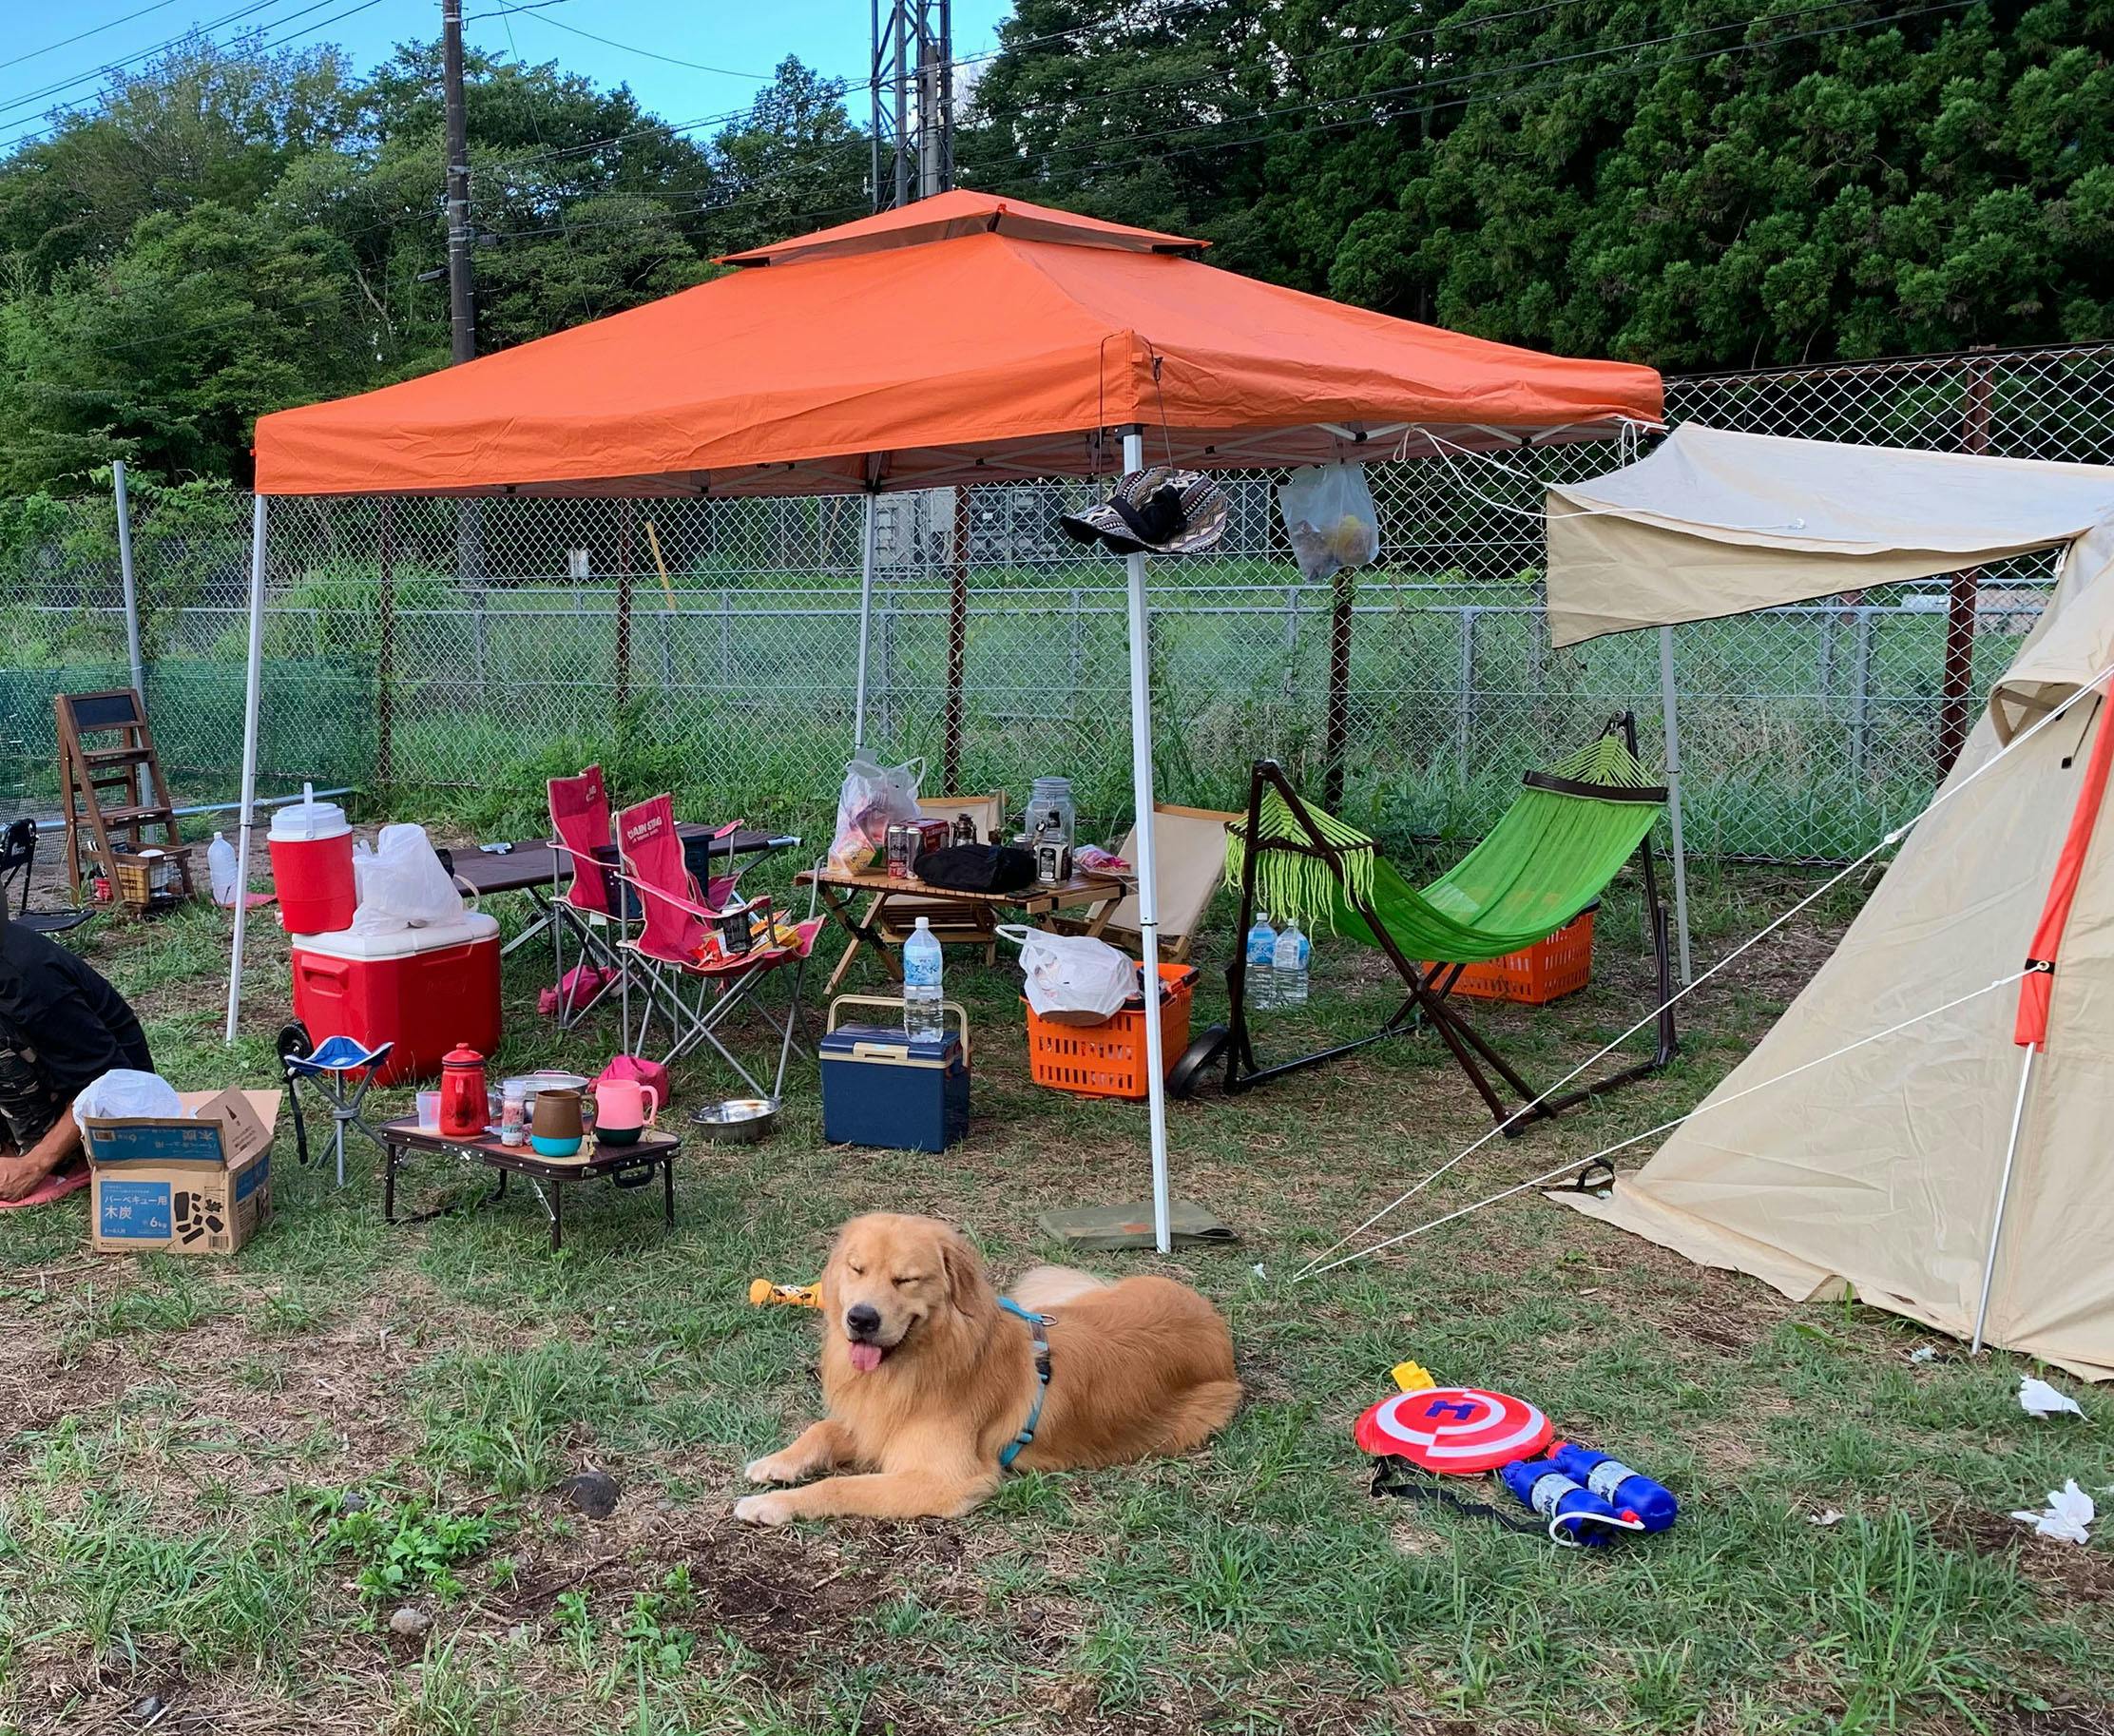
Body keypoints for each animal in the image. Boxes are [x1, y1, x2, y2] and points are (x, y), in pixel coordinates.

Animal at [740, 1209, 1234, 1522]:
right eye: (856, 1269)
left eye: (906, 1279)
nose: (860, 1319)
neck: (923, 1359)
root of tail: (1210, 1318)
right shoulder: (875, 1422)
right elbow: (821, 1429)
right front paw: (776, 1462)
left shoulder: (945, 1480)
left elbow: (843, 1487)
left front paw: (772, 1505)